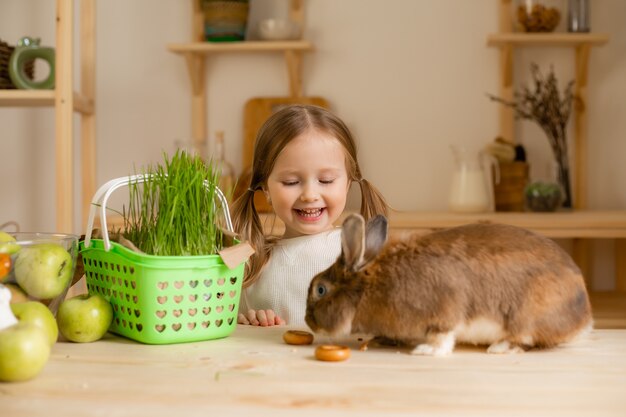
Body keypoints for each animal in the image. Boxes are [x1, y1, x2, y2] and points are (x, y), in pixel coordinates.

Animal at [304, 214, 592, 354]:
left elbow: (442, 337)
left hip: (525, 316)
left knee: (525, 338)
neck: (370, 284)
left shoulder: (442, 312)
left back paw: (499, 348)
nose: (308, 321)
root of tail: (584, 317)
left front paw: (425, 351)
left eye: (320, 289)